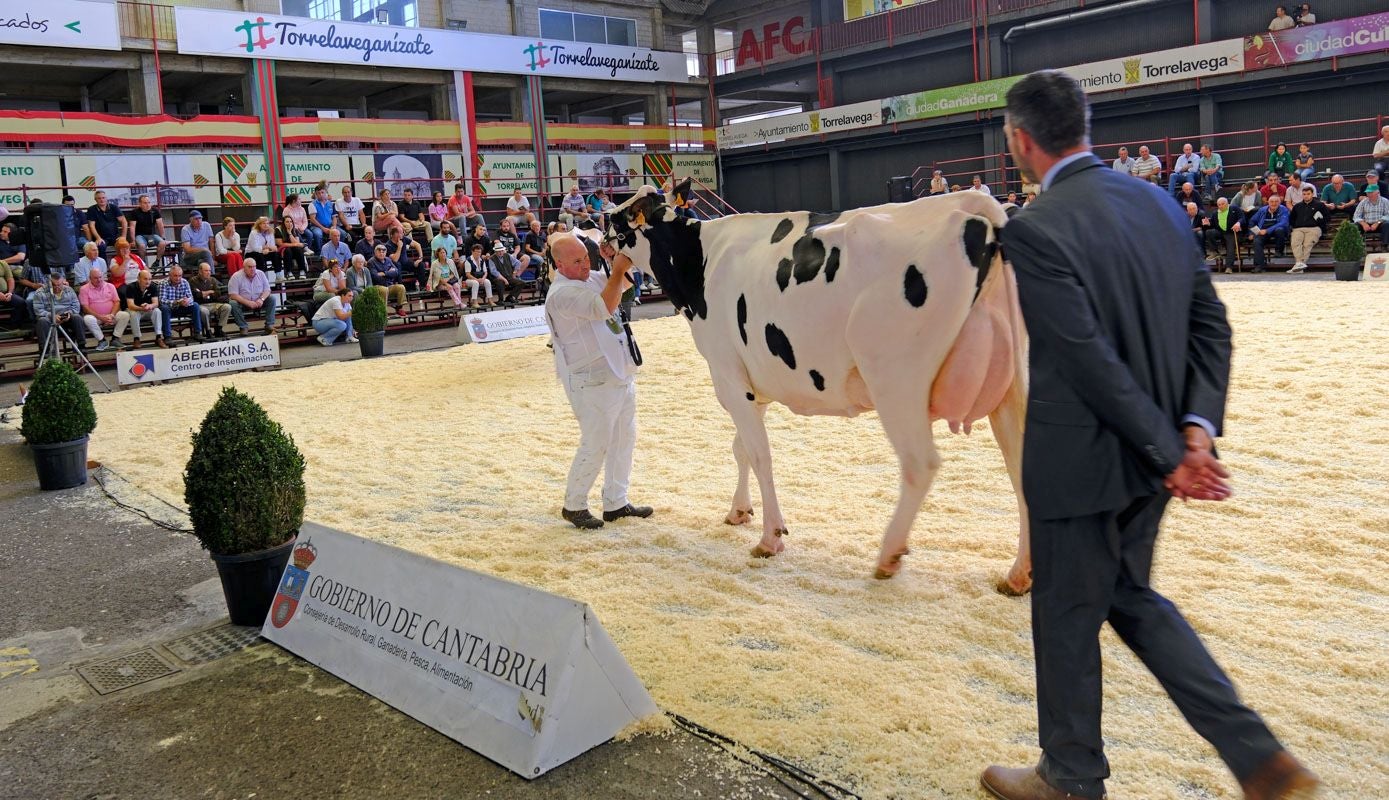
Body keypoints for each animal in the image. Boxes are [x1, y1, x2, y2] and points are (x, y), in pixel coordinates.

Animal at [611, 183, 1033, 594]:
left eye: (618, 221)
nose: (601, 235)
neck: (700, 262)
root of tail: (972, 203)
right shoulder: (754, 385)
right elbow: (741, 449)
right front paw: (739, 511)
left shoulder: (729, 376)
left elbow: (760, 455)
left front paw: (770, 537)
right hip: (1011, 381)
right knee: (1021, 466)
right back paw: (1018, 575)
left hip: (896, 379)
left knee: (920, 464)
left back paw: (888, 556)